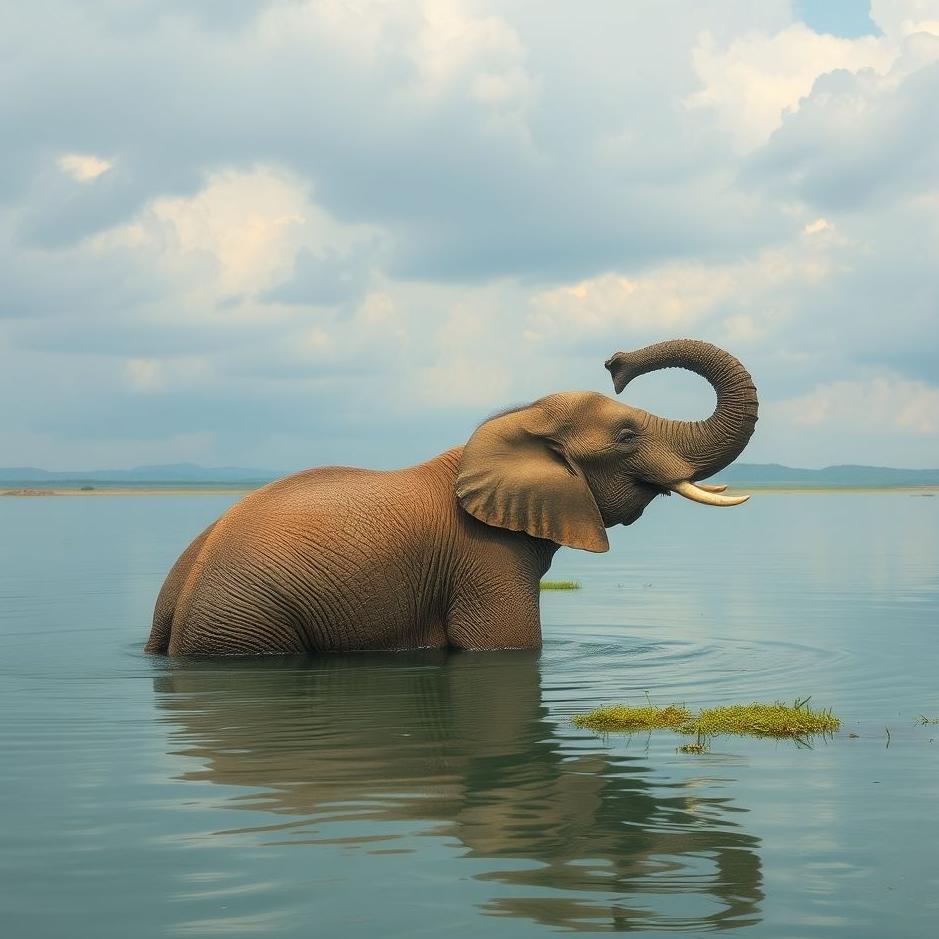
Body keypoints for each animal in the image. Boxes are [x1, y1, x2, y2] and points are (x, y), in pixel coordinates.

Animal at [145, 338, 758, 655]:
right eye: (627, 436)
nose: (615, 363)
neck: (518, 423)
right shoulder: (484, 556)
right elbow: (505, 646)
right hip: (245, 624)